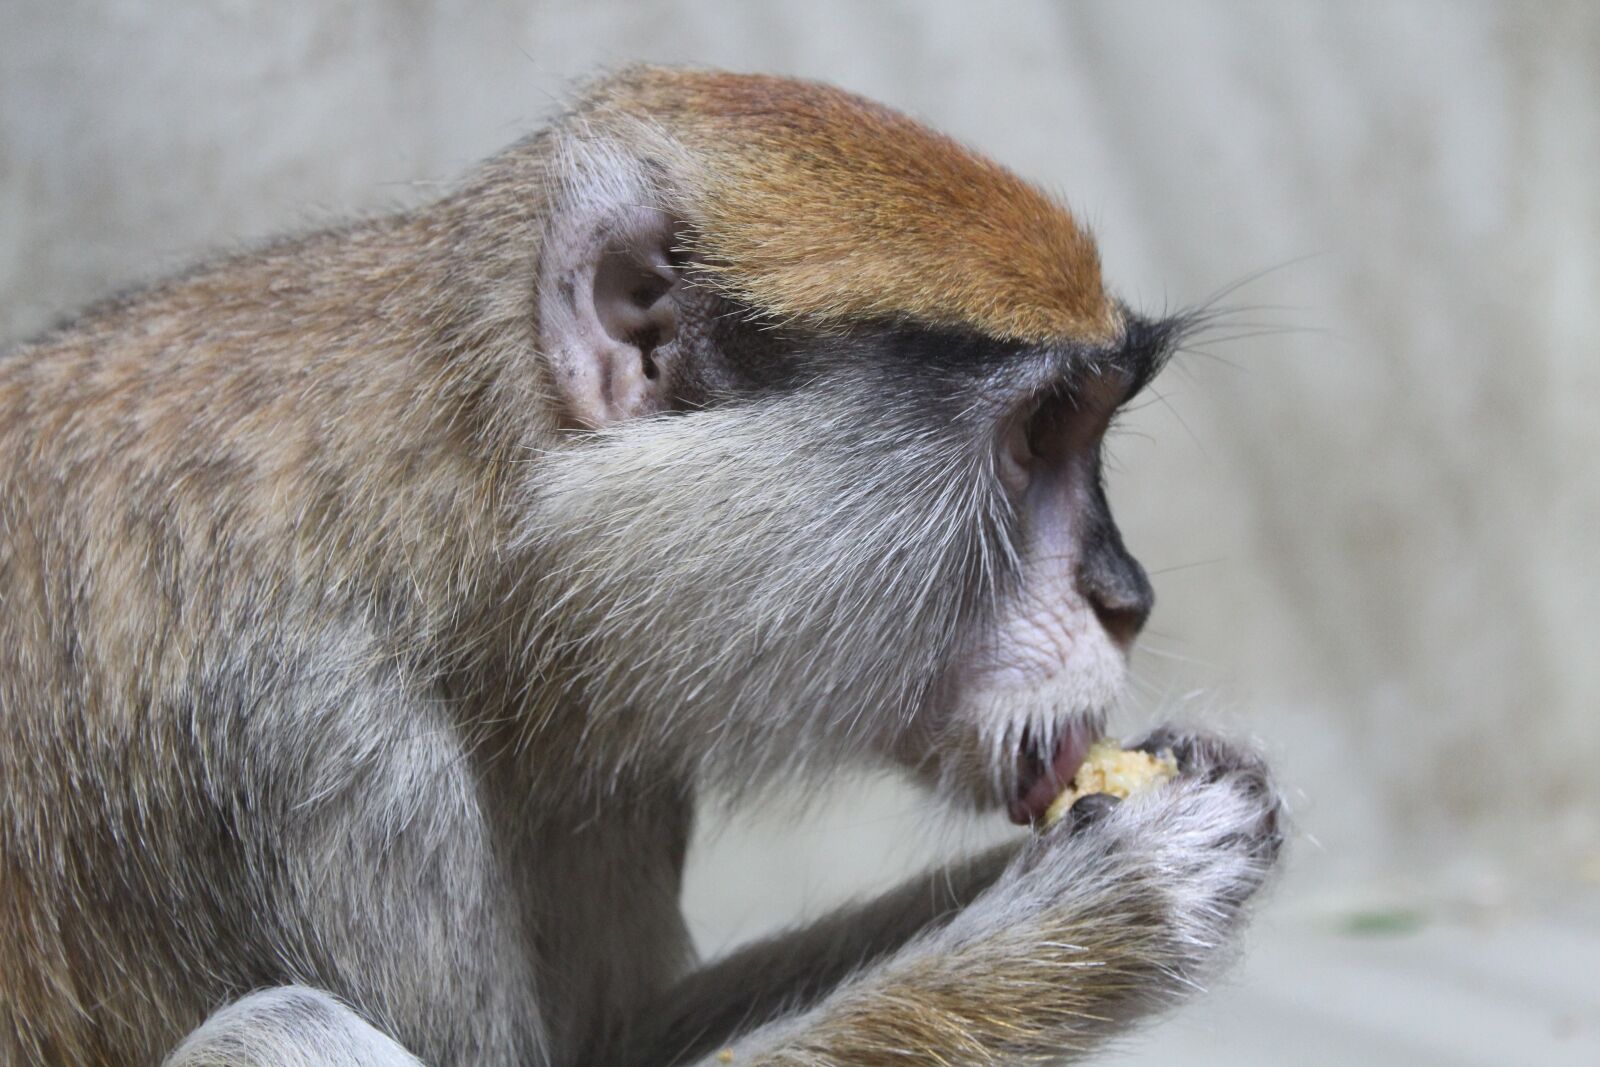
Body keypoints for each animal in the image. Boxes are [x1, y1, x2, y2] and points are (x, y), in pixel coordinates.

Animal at [0, 67, 1283, 1066]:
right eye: (1035, 439)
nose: (1125, 599)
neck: (454, 520)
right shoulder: (303, 736)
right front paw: (1123, 904)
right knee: (276, 1027)